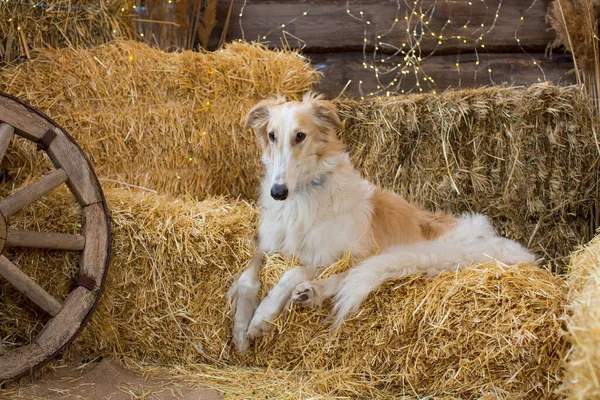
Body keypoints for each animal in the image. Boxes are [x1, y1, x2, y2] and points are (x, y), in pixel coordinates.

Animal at [226, 91, 536, 354]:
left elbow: (292, 272)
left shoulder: (340, 254)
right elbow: (247, 276)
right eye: (271, 135)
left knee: (353, 275)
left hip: (428, 254)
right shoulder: (266, 245)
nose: (277, 193)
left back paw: (310, 292)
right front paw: (241, 329)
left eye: (300, 136)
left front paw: (262, 316)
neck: (302, 196)